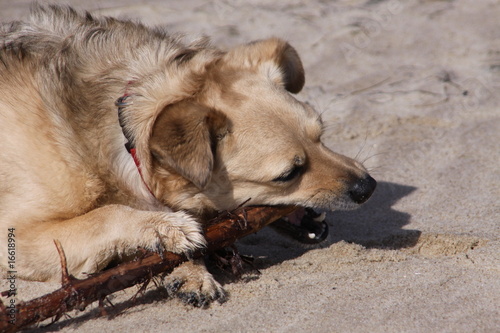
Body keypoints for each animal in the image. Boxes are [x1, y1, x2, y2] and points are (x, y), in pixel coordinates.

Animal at [0, 5, 376, 306]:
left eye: (321, 136)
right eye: (287, 175)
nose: (368, 187)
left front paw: (190, 269)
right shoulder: (14, 231)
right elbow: (106, 214)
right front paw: (165, 227)